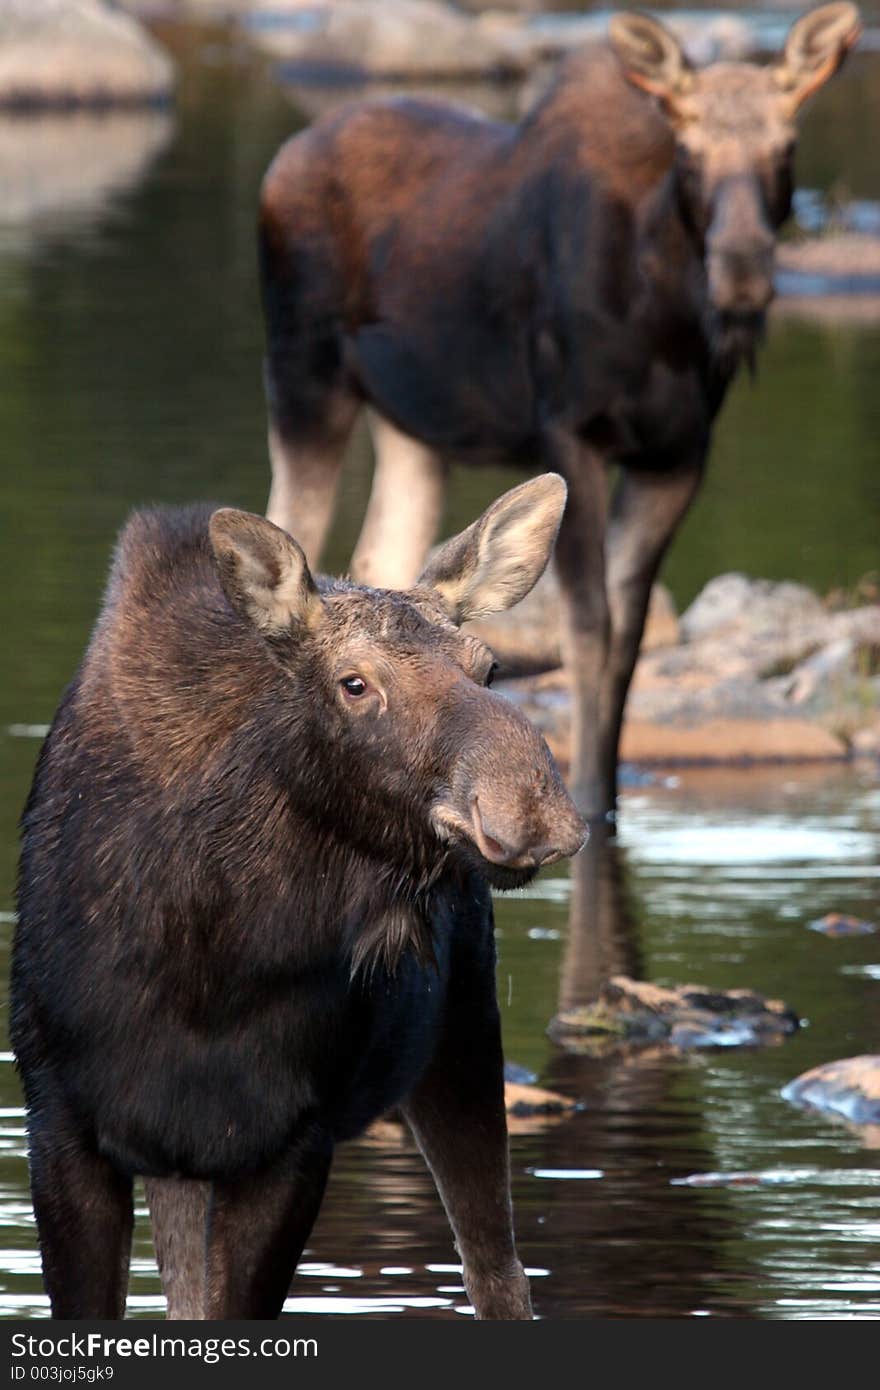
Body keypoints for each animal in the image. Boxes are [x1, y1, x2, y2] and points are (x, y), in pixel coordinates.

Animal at [11, 472, 583, 1317]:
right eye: (354, 683)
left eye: (489, 669)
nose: (533, 810)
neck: (208, 955)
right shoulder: (62, 1124)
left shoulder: (292, 1141)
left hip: (464, 1032)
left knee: (497, 1271)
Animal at [257, 2, 861, 811]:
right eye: (688, 146)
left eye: (786, 143)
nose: (742, 270)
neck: (666, 319)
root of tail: (281, 161)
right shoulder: (571, 434)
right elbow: (589, 632)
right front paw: (589, 796)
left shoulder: (676, 456)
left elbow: (629, 638)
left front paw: (607, 795)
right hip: (304, 380)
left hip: (410, 428)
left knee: (382, 556)